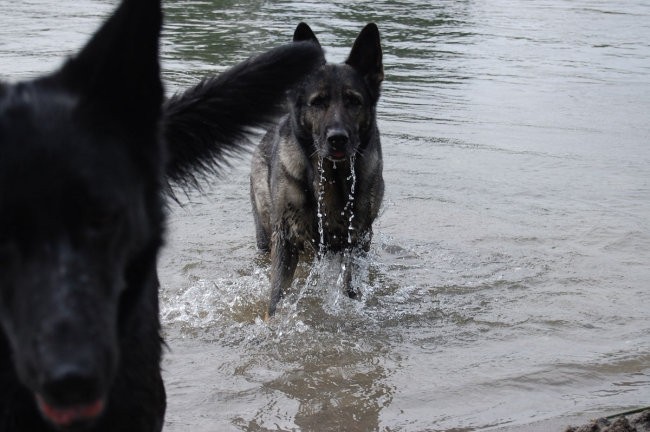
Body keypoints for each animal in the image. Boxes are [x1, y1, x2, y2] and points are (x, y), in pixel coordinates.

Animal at [247, 22, 380, 316]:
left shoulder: (355, 239)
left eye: (354, 101)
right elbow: (276, 297)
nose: (337, 138)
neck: (332, 175)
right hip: (265, 232)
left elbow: (348, 284)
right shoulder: (285, 238)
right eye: (318, 102)